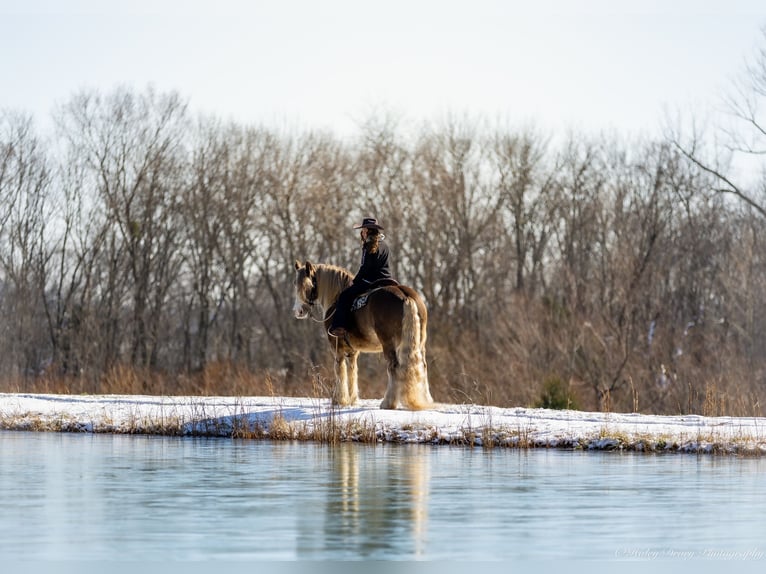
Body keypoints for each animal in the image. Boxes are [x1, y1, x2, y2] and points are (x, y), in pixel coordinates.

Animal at [292, 264, 436, 412]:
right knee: (423, 366)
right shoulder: (352, 351)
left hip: (388, 343)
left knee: (393, 367)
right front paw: (352, 400)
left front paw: (339, 400)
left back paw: (388, 403)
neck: (335, 299)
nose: (299, 311)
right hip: (419, 343)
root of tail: (405, 296)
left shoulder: (337, 347)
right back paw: (426, 400)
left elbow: (339, 370)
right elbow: (352, 371)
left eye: (305, 284)